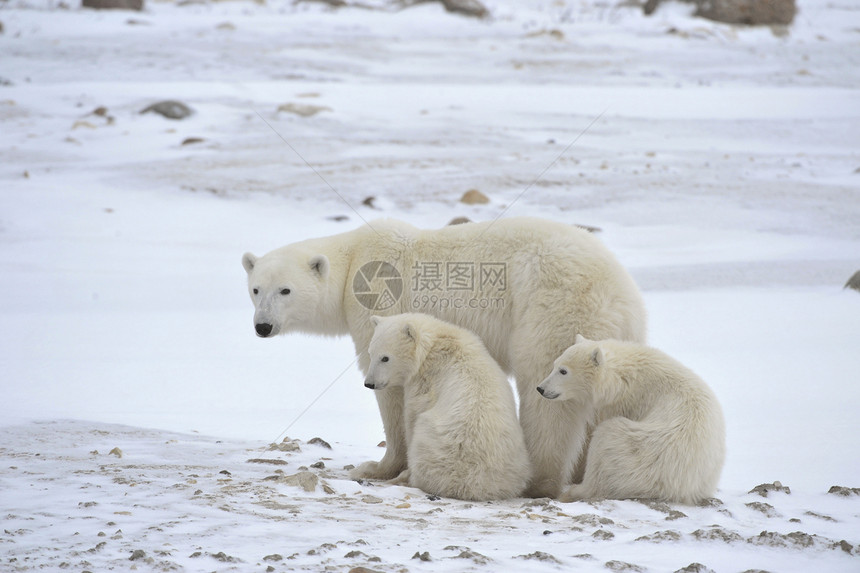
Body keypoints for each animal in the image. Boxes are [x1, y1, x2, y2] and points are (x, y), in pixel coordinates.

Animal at [242, 217, 644, 498]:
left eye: (285, 290)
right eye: (256, 289)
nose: (262, 326)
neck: (354, 257)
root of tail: (620, 294)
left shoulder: (381, 305)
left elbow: (393, 393)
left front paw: (376, 467)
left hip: (553, 308)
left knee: (547, 395)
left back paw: (539, 480)